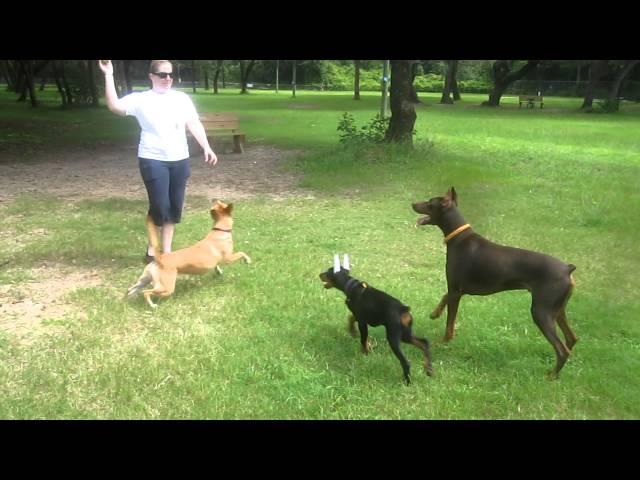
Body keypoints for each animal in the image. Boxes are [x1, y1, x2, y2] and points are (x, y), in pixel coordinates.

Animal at [320, 253, 436, 384]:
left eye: (328, 272)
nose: (319, 274)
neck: (351, 286)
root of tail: (403, 310)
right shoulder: (362, 317)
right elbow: (351, 318)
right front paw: (353, 332)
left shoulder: (362, 322)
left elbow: (363, 340)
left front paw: (365, 352)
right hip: (405, 334)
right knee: (424, 343)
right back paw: (428, 369)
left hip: (393, 337)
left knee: (406, 362)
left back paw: (407, 381)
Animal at [412, 188, 576, 378]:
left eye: (429, 203)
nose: (412, 204)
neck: (458, 238)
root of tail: (568, 269)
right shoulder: (456, 290)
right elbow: (444, 297)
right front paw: (435, 313)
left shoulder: (456, 290)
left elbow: (449, 324)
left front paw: (444, 341)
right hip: (557, 310)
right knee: (572, 339)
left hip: (541, 312)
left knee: (561, 349)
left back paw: (551, 376)